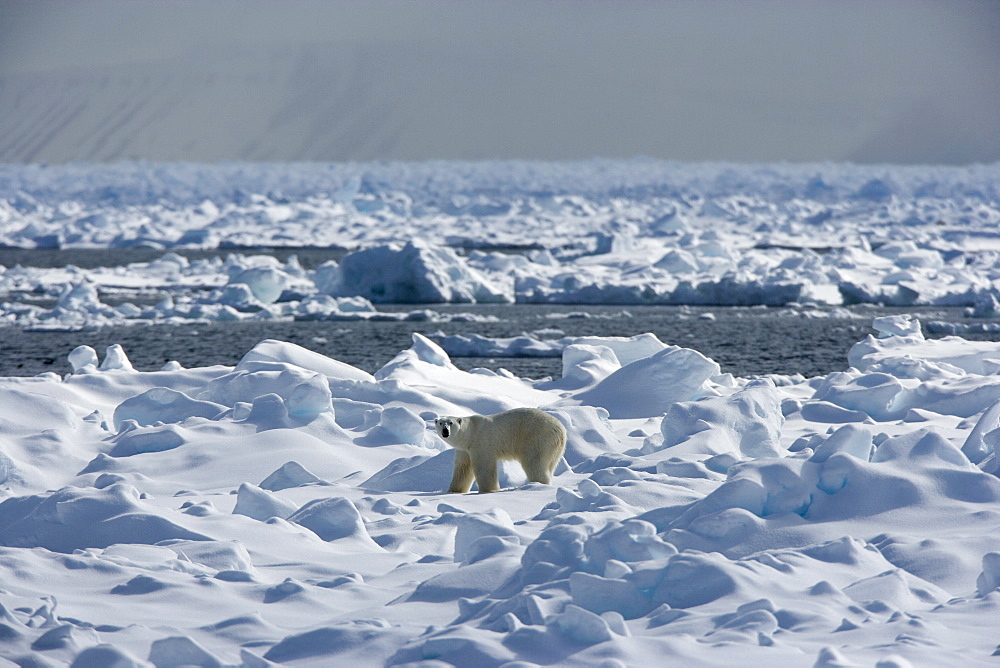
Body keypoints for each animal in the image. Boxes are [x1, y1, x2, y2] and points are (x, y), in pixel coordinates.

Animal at [434, 404, 568, 494]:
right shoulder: (464, 449)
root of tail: (561, 429)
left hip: (537, 439)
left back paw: (538, 484)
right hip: (555, 448)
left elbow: (484, 466)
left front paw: (489, 489)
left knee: (534, 463)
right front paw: (454, 490)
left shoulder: (481, 443)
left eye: (450, 423)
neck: (470, 433)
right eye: (440, 423)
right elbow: (463, 468)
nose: (445, 431)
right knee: (549, 465)